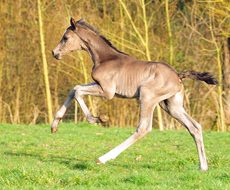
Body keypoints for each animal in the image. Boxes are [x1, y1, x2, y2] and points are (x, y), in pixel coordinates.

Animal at [51, 17, 218, 171]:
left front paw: (98, 119)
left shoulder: (107, 91)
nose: (54, 53)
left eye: (66, 38)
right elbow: (74, 89)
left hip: (147, 96)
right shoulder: (99, 85)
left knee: (144, 128)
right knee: (194, 127)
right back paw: (203, 167)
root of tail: (178, 75)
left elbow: (78, 91)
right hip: (171, 105)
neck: (105, 58)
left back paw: (104, 158)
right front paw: (54, 126)